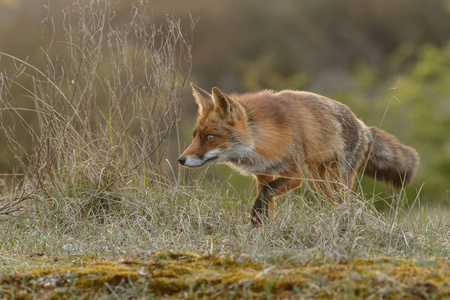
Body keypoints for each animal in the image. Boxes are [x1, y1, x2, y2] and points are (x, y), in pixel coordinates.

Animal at [178, 83, 420, 224]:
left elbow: (265, 194)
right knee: (335, 202)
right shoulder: (263, 173)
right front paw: (263, 228)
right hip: (320, 181)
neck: (262, 140)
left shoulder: (295, 175)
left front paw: (256, 220)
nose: (181, 159)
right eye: (195, 135)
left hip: (335, 179)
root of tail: (362, 125)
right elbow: (266, 198)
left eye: (209, 137)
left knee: (347, 202)